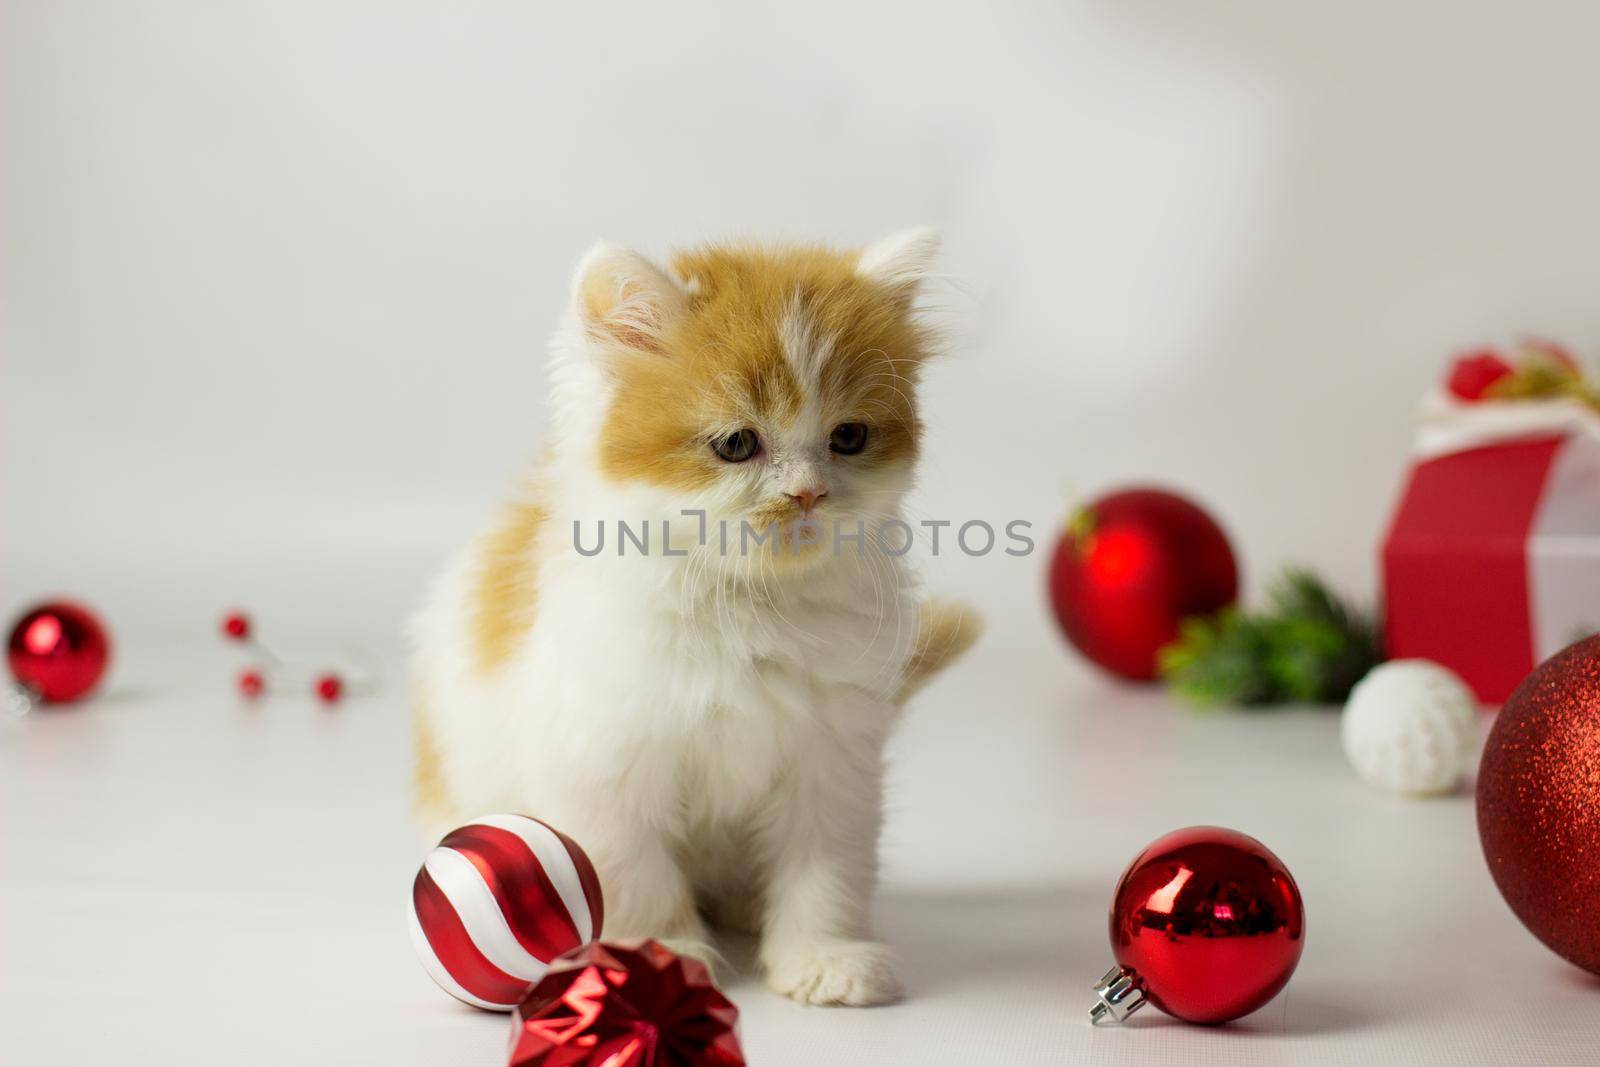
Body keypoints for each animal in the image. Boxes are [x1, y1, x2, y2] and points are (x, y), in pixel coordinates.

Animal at [409, 230, 972, 1004]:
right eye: (737, 443)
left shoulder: (835, 754)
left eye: (849, 437)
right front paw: (657, 951)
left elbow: (825, 865)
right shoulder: (607, 758)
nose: (808, 494)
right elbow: (631, 869)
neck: (747, 603)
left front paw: (823, 956)